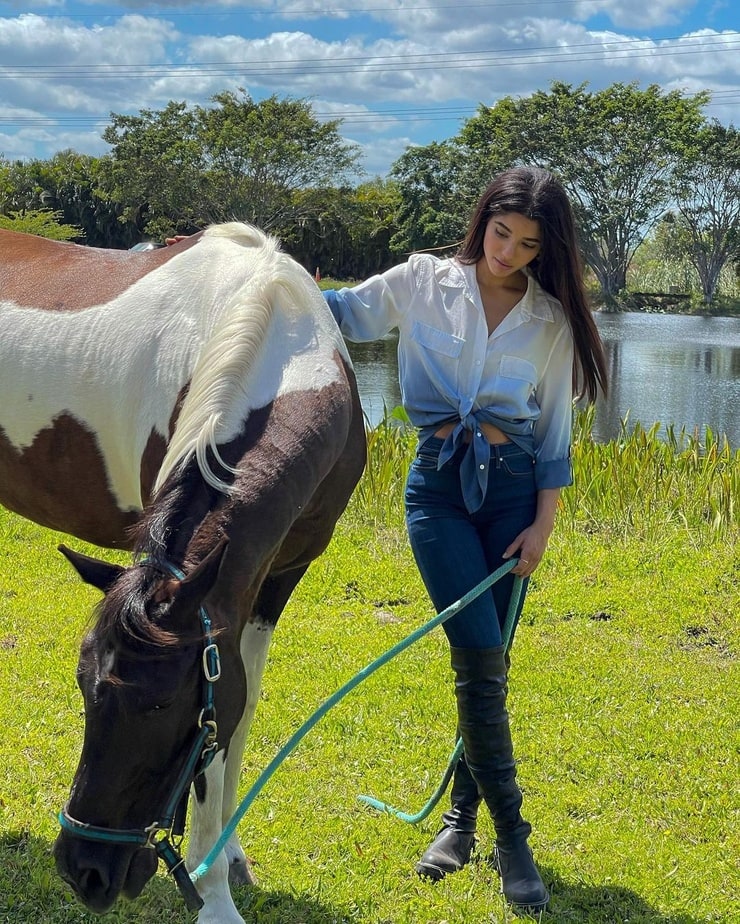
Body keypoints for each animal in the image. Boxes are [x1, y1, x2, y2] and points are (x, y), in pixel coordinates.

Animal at [0, 224, 368, 924]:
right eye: (84, 687)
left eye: (163, 702)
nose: (85, 871)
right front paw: (214, 895)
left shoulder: (274, 581)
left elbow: (239, 714)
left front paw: (228, 859)